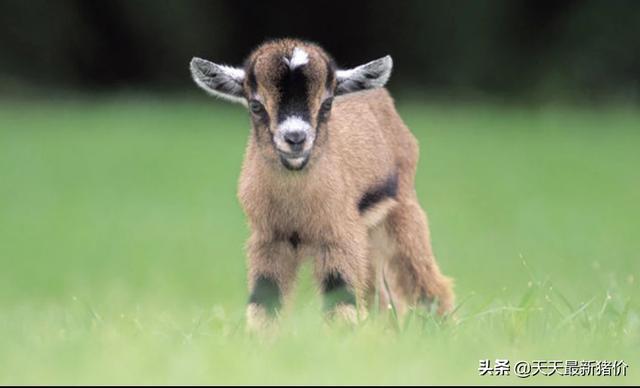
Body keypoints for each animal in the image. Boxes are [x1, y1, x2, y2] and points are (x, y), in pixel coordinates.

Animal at [190, 39, 456, 328]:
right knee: (380, 299)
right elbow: (265, 301)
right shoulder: (270, 240)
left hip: (401, 213)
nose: (295, 138)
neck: (296, 208)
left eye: (327, 103)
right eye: (256, 106)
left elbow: (341, 300)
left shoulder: (338, 236)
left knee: (428, 283)